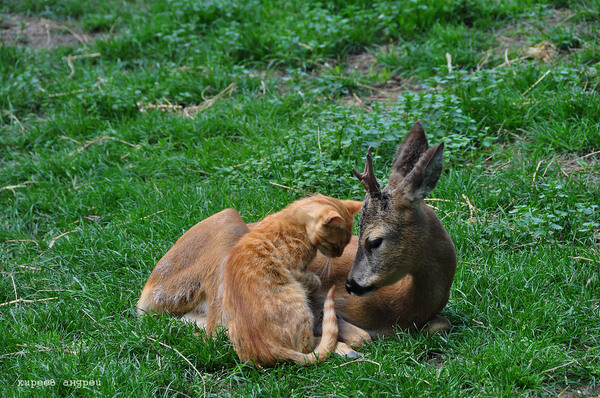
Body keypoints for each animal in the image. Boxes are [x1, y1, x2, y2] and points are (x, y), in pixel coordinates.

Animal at [220, 194, 360, 366]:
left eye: (346, 244)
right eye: (336, 244)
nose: (339, 254)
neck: (292, 219)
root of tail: (270, 350)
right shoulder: (295, 270)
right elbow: (312, 279)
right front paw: (316, 281)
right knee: (309, 347)